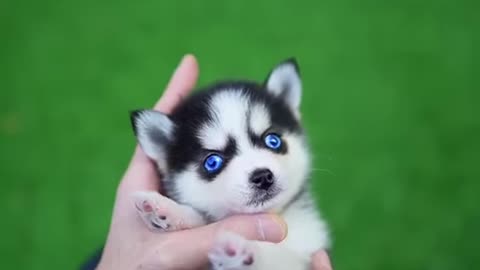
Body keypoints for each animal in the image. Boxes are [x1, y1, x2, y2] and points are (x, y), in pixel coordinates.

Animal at [130, 58, 330, 268]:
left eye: (273, 140)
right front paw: (166, 210)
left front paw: (244, 254)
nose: (262, 177)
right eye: (212, 162)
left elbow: (280, 259)